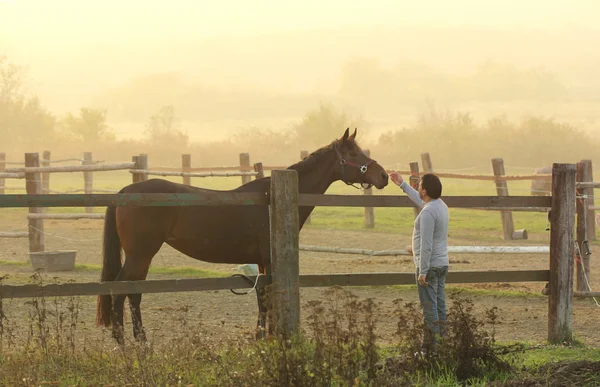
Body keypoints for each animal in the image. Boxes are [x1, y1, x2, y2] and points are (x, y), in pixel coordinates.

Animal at [95, 128, 390, 346]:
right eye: (352, 152)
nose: (384, 175)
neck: (272, 199)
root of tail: (125, 191)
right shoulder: (269, 261)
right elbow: (267, 298)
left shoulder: (261, 262)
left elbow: (263, 297)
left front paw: (262, 336)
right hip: (140, 254)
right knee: (122, 292)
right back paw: (126, 343)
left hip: (141, 257)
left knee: (132, 293)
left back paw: (138, 341)